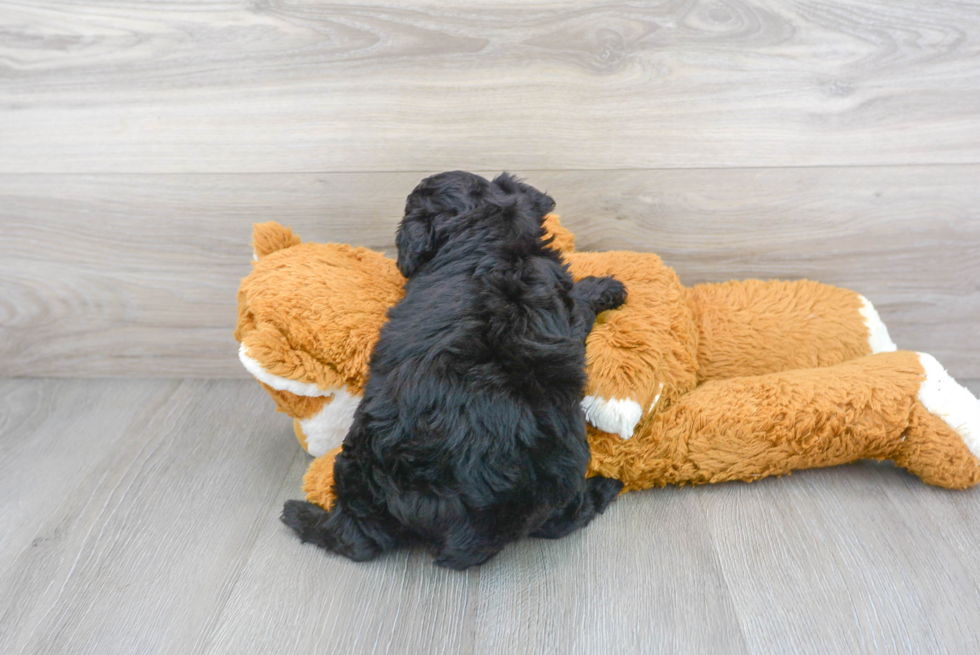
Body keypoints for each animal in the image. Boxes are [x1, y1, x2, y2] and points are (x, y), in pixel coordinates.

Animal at [280, 172, 624, 572]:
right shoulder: (563, 309)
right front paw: (608, 286)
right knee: (565, 518)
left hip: (358, 460)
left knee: (355, 539)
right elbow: (578, 303)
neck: (486, 239)